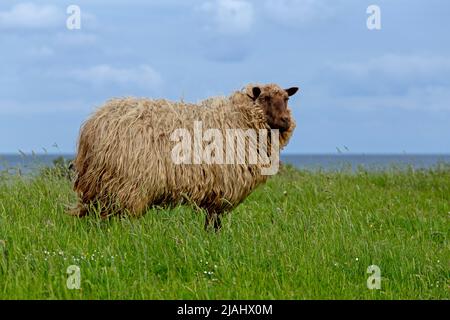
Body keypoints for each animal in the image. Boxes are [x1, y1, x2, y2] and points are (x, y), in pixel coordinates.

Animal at [71, 83, 298, 230]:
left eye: (286, 99)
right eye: (265, 98)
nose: (285, 121)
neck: (240, 118)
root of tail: (93, 124)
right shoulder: (222, 186)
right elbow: (214, 221)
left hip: (104, 183)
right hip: (126, 182)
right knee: (121, 216)